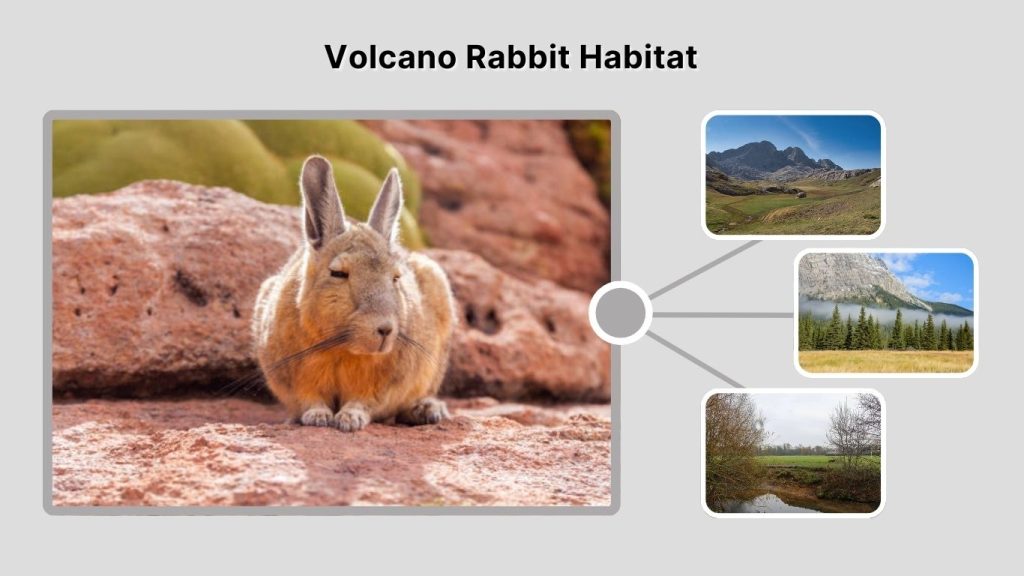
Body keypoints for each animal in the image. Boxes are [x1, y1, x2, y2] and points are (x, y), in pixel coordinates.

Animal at [252, 155, 455, 432]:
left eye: (396, 277)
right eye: (338, 273)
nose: (385, 329)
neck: (342, 347)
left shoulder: (383, 386)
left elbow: (363, 402)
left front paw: (349, 421)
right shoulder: (293, 379)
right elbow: (310, 399)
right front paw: (318, 417)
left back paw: (428, 410)